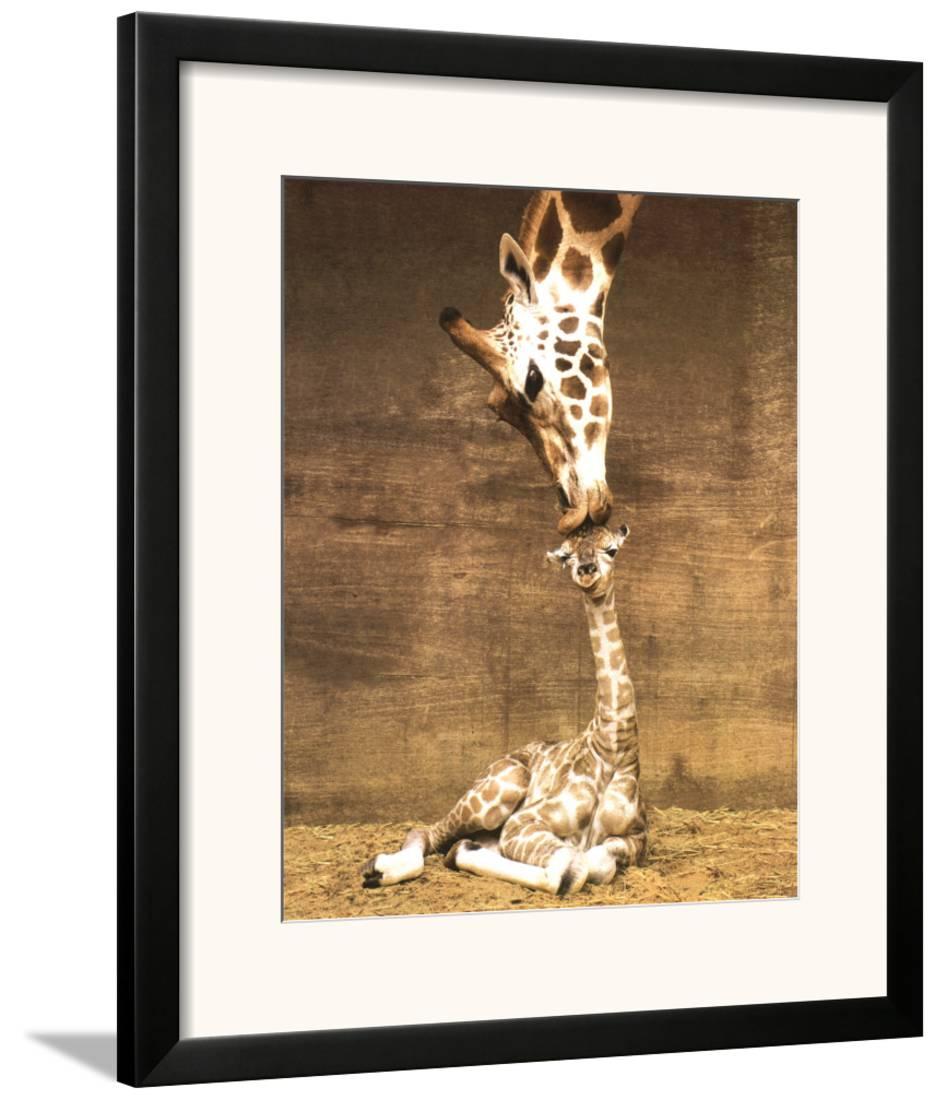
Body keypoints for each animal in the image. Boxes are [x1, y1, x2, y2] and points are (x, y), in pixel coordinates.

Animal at [361, 521, 647, 897]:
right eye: (566, 556)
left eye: (611, 550)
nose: (587, 570)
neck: (613, 744)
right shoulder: (523, 822)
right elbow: (570, 869)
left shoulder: (638, 838)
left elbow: (597, 862)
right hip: (500, 790)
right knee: (427, 831)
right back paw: (378, 869)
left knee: (456, 842)